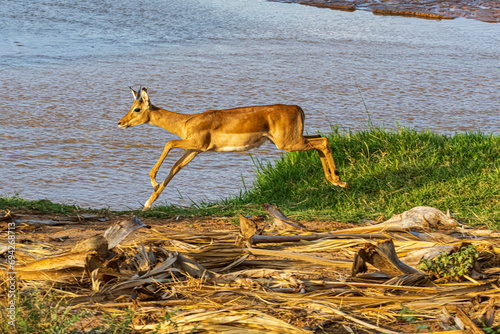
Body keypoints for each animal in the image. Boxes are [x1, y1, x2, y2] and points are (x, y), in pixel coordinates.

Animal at [119, 87, 350, 210]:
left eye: (137, 109)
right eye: (131, 107)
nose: (121, 122)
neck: (186, 122)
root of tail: (297, 108)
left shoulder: (196, 144)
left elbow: (168, 144)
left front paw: (152, 181)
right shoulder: (194, 151)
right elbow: (175, 169)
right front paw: (148, 203)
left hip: (288, 143)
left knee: (324, 141)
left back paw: (340, 181)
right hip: (294, 140)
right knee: (321, 139)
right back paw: (336, 180)